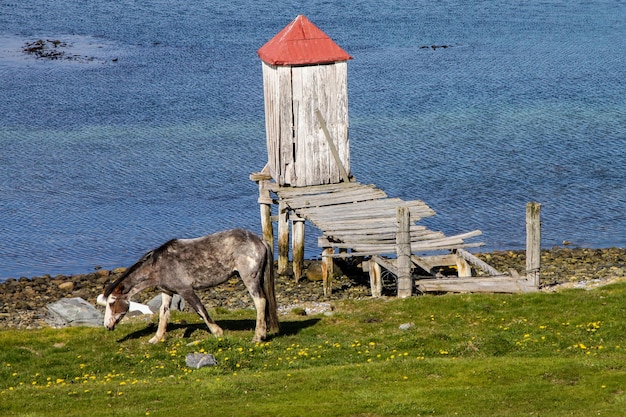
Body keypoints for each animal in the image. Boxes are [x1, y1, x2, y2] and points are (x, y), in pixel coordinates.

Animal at [99, 228, 278, 342]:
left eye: (112, 303)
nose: (107, 326)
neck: (160, 265)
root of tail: (259, 240)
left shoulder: (186, 291)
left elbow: (201, 311)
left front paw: (218, 332)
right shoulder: (167, 292)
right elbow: (163, 314)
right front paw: (156, 338)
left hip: (250, 278)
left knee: (260, 302)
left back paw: (258, 337)